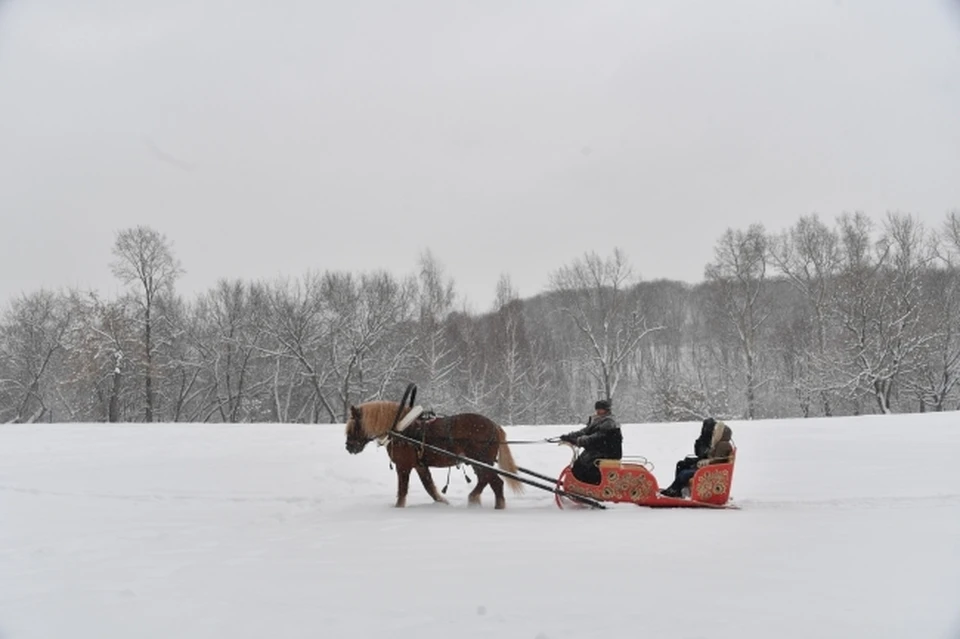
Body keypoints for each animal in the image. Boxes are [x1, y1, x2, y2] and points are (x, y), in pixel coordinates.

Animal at [344, 400, 524, 510]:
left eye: (354, 424)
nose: (349, 447)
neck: (402, 429)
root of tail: (494, 426)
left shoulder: (403, 467)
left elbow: (402, 490)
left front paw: (399, 507)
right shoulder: (420, 466)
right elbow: (429, 487)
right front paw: (443, 502)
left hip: (481, 461)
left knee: (494, 481)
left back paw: (482, 501)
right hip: (478, 462)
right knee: (489, 481)